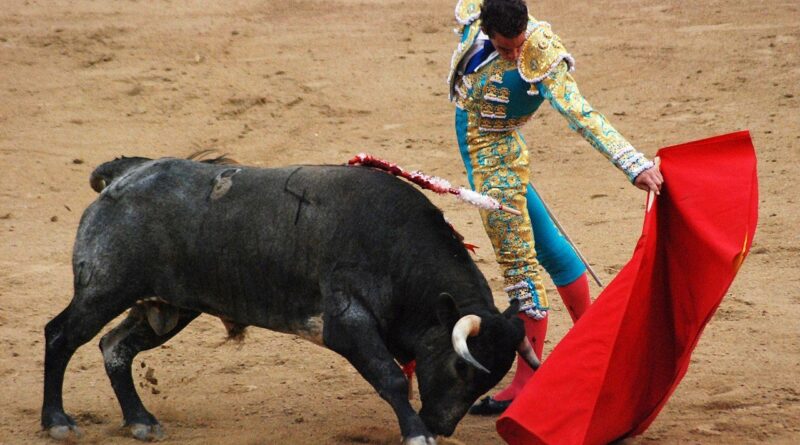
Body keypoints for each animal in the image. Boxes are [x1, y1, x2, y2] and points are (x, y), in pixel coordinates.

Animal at [42, 154, 536, 442]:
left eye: (491, 377)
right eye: (460, 366)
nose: (441, 427)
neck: (396, 248)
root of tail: (123, 176)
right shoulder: (347, 322)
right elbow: (392, 378)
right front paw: (415, 435)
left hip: (167, 308)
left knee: (114, 346)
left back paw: (141, 421)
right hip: (104, 289)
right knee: (60, 336)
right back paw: (58, 422)